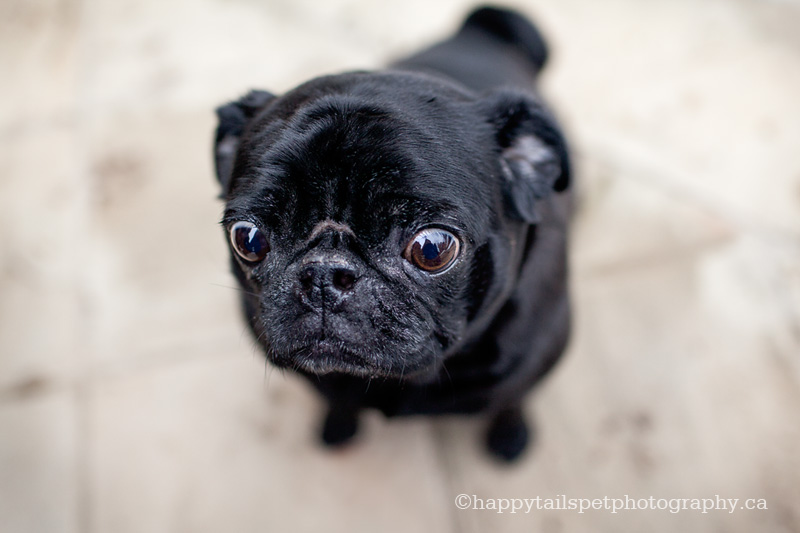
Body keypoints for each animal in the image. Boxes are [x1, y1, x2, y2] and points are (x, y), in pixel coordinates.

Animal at [211, 6, 568, 460]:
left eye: (432, 249)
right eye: (248, 239)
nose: (324, 274)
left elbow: (512, 400)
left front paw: (509, 436)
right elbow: (337, 399)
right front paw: (339, 426)